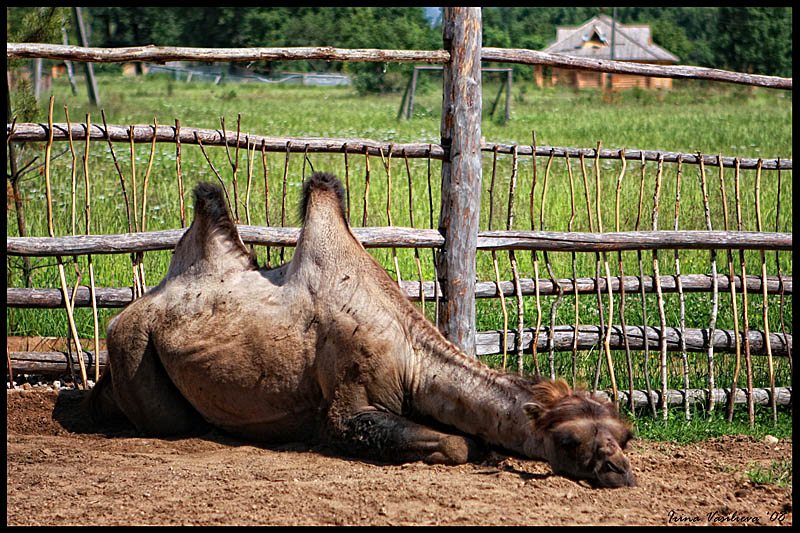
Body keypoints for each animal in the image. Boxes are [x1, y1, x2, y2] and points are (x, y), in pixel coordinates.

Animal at [87, 170, 636, 486]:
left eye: (625, 437)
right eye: (567, 442)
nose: (620, 472)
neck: (413, 356)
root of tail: (128, 310)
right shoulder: (348, 399)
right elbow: (456, 443)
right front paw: (476, 448)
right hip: (132, 343)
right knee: (163, 418)